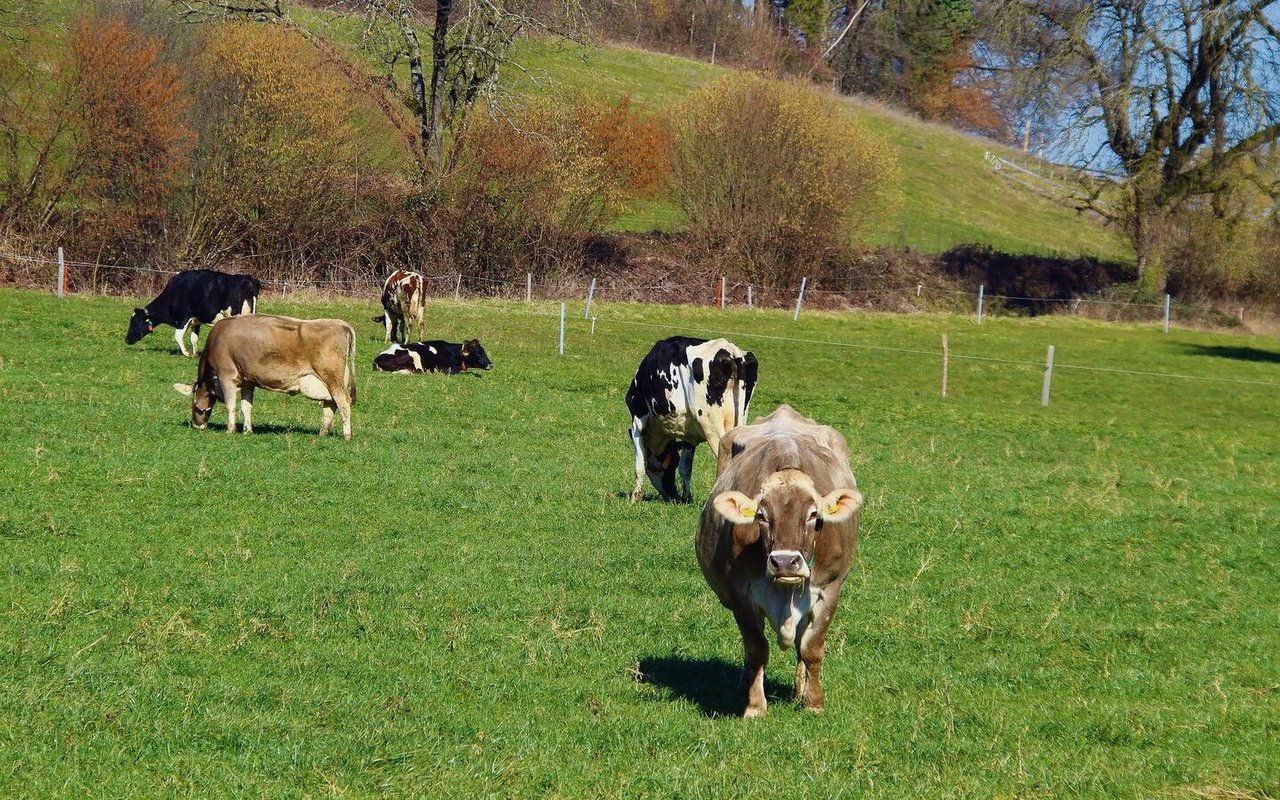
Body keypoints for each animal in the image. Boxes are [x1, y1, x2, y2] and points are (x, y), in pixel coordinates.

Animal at [123, 268, 261, 355]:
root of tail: (247, 278)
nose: (127, 340)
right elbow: (194, 338)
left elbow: (178, 335)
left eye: (135, 322)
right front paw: (195, 354)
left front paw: (187, 353)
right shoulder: (196, 320)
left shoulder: (184, 316)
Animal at [172, 313, 358, 437]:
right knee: (330, 405)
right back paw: (322, 433)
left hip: (332, 378)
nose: (197, 425)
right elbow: (246, 406)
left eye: (193, 403)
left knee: (343, 403)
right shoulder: (247, 381)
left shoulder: (227, 376)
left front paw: (230, 430)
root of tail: (341, 324)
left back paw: (347, 435)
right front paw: (247, 430)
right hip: (333, 380)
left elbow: (231, 405)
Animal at [624, 335, 752, 499]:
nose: (672, 494)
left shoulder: (637, 420)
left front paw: (635, 497)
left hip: (713, 428)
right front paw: (686, 497)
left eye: (669, 464)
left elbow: (640, 464)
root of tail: (731, 351)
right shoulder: (689, 434)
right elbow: (685, 468)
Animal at [696, 404, 865, 716]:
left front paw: (813, 701)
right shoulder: (741, 593)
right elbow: (756, 648)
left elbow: (811, 647)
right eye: (761, 515)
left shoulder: (829, 589)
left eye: (813, 514)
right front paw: (755, 705)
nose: (785, 562)